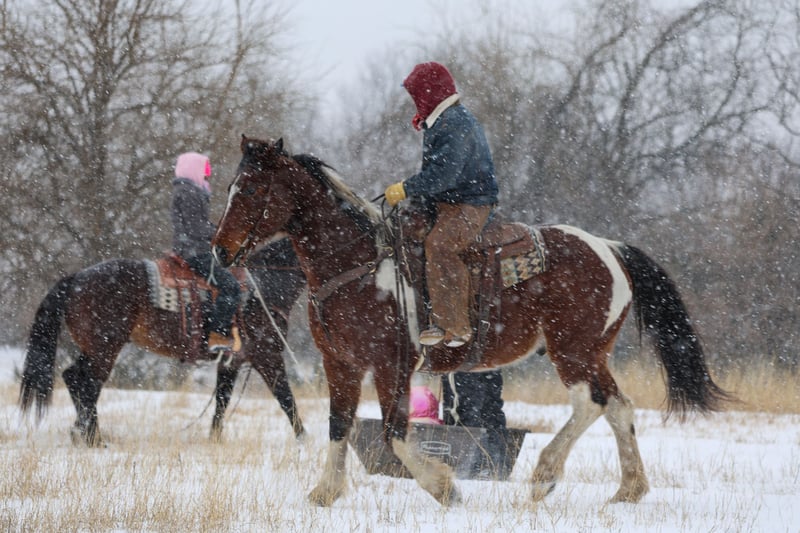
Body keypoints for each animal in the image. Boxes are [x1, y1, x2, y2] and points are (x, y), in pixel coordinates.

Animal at [19, 238, 306, 447]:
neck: (264, 287)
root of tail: (76, 278)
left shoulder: (232, 361)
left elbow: (221, 403)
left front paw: (214, 440)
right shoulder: (268, 356)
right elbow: (286, 399)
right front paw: (304, 441)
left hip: (95, 348)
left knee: (74, 379)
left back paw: (84, 433)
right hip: (105, 348)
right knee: (86, 384)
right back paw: (93, 438)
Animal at [212, 135, 731, 507]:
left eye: (252, 188)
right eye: (231, 187)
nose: (220, 250)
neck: (358, 262)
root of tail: (610, 248)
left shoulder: (391, 365)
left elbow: (395, 435)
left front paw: (444, 486)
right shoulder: (341, 364)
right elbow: (340, 426)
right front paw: (325, 492)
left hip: (572, 349)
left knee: (591, 403)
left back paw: (544, 477)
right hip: (592, 350)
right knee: (619, 406)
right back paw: (628, 489)